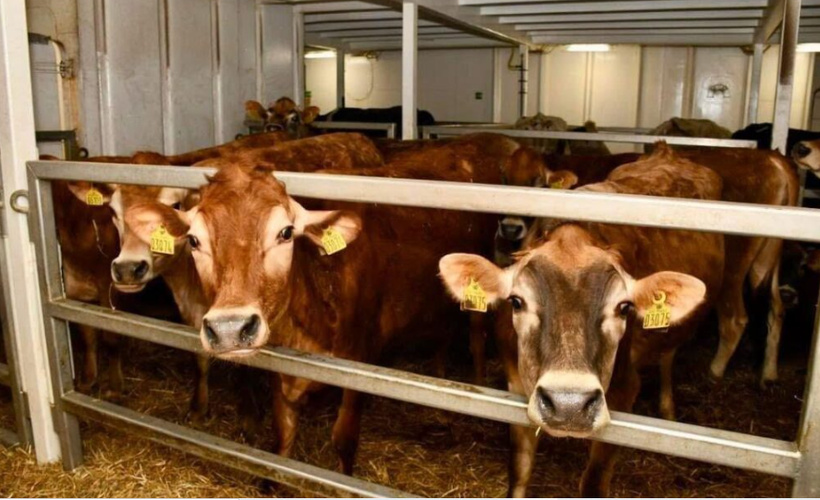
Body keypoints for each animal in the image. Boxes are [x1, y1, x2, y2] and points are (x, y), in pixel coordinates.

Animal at [120, 133, 552, 475]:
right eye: (194, 240)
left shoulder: (359, 363)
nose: (230, 328)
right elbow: (283, 434)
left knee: (474, 337)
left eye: (285, 233)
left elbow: (344, 438)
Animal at [439, 144, 724, 497]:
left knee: (668, 355)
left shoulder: (623, 392)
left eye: (623, 307)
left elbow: (594, 482)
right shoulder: (518, 388)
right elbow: (519, 470)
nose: (568, 404)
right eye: (517, 301)